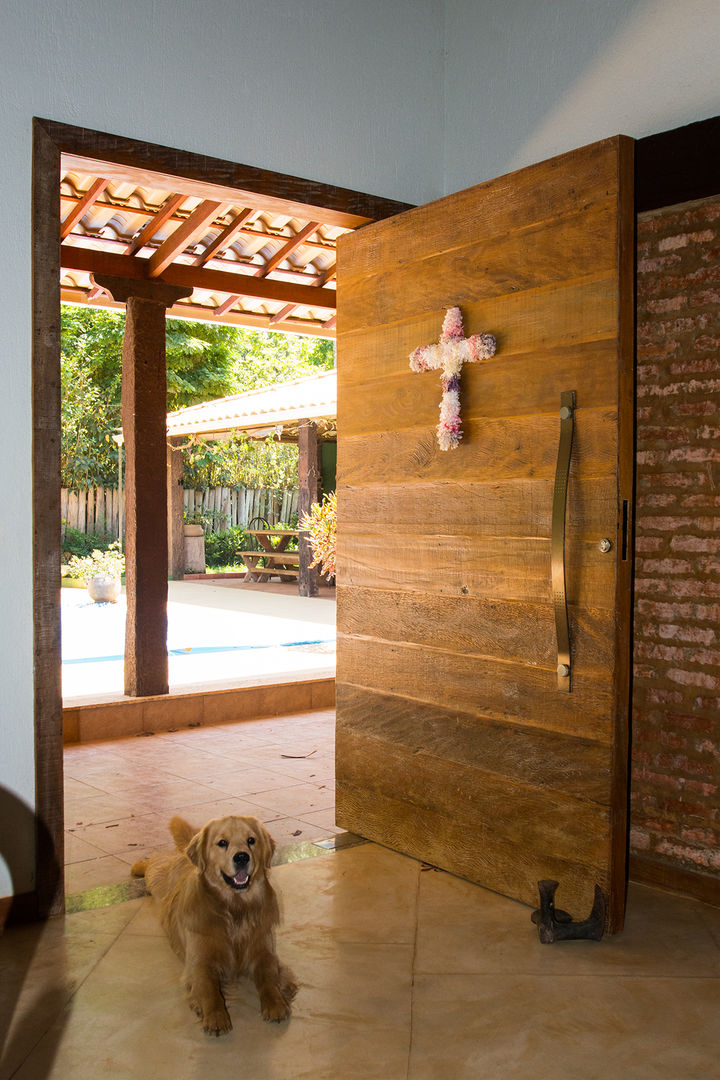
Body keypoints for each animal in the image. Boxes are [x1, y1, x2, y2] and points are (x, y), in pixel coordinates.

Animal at [131, 812, 297, 1032]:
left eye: (251, 840)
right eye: (222, 843)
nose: (242, 857)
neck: (235, 910)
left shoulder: (264, 952)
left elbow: (269, 978)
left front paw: (276, 1004)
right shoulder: (200, 962)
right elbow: (209, 990)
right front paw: (216, 1017)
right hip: (157, 878)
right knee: (154, 861)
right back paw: (137, 866)